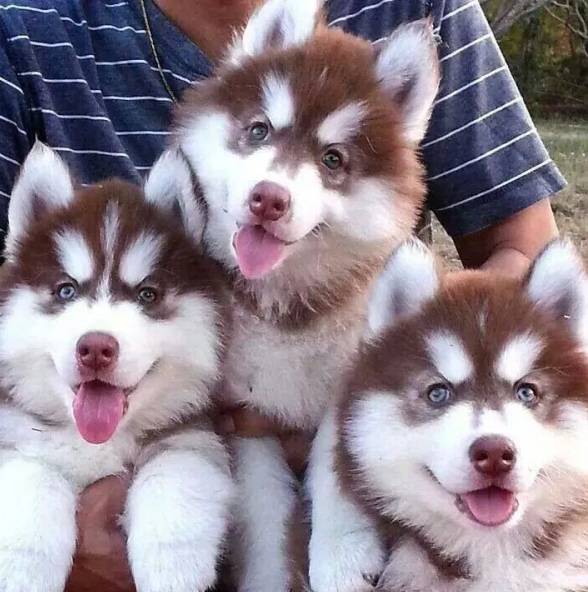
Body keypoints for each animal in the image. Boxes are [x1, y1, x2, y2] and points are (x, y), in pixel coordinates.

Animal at [0, 143, 234, 592]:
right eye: (66, 291)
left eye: (147, 295)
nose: (95, 347)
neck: (95, 440)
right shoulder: (17, 437)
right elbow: (33, 477)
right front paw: (23, 570)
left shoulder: (192, 435)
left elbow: (175, 473)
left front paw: (173, 567)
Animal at [173, 0, 441, 589]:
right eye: (258, 130)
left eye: (333, 159)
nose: (268, 199)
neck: (287, 307)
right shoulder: (246, 417)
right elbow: (265, 514)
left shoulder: (354, 390)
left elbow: (341, 479)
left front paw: (341, 560)